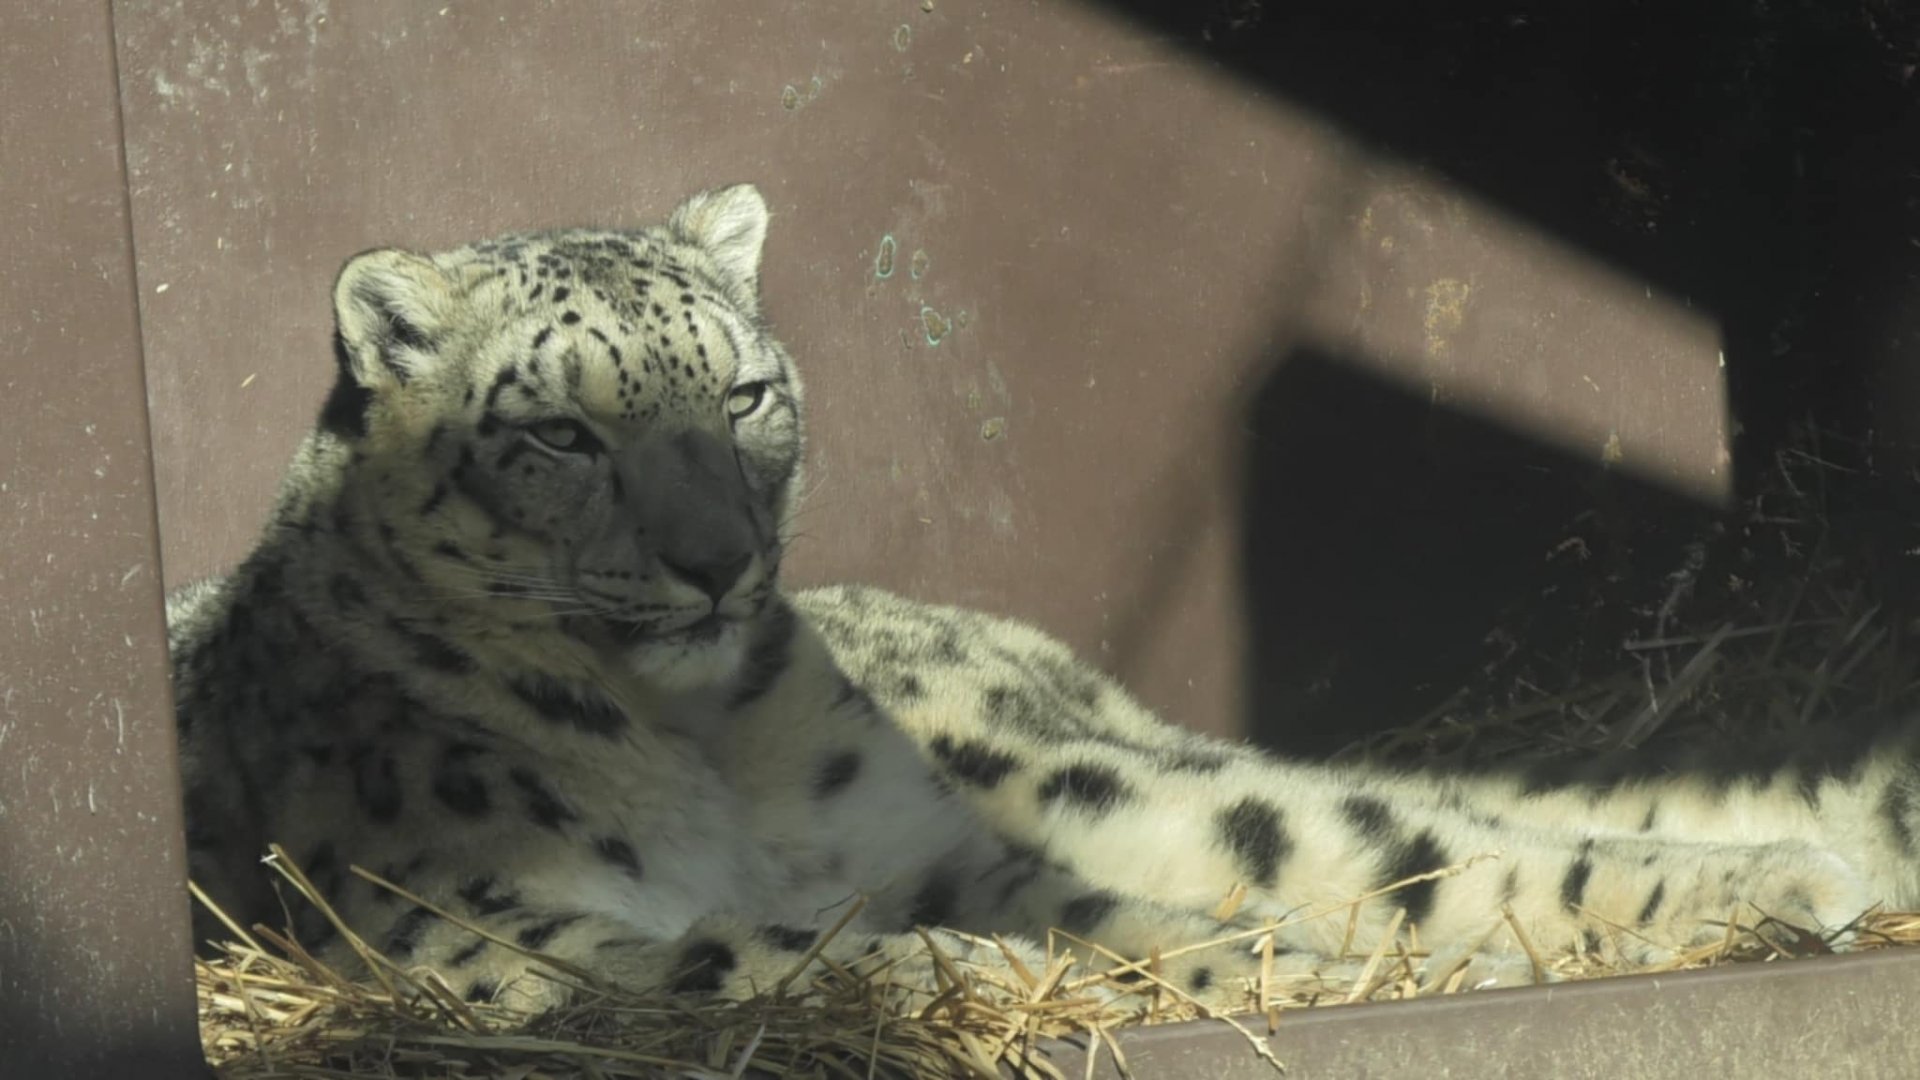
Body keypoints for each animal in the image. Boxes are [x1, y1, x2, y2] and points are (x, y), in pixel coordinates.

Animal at [168, 183, 1912, 1018]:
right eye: (559, 434)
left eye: (739, 392)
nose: (718, 558)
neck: (706, 754)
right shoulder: (485, 931)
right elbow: (792, 955)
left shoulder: (968, 848)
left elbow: (1138, 928)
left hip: (1081, 774)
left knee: (1401, 836)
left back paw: (1786, 874)